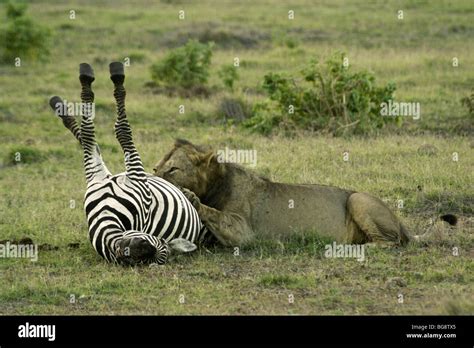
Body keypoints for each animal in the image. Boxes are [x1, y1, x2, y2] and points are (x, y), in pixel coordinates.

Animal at [49, 61, 210, 264]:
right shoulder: (99, 177)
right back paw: (61, 104)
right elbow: (91, 136)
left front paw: (112, 76)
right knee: (90, 142)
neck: (107, 215)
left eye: (157, 248)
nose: (139, 247)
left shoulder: (136, 180)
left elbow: (119, 131)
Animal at [154, 139, 412, 247]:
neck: (216, 184)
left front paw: (191, 197)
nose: (154, 176)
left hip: (358, 198)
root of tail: (401, 223)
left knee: (391, 242)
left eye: (173, 169)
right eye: (157, 168)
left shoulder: (244, 233)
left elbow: (215, 213)